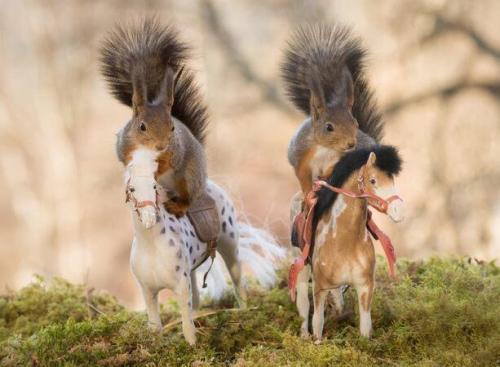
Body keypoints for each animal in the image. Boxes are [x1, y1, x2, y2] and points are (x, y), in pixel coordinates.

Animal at [99, 17, 209, 217]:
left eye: (172, 127)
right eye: (142, 126)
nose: (160, 146)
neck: (146, 150)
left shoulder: (173, 152)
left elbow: (166, 164)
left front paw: (155, 174)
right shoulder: (124, 147)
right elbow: (126, 162)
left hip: (191, 176)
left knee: (189, 198)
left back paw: (178, 206)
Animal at [282, 24, 382, 194]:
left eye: (355, 123)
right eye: (329, 127)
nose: (351, 144)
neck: (325, 148)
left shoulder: (338, 160)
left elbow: (333, 171)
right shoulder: (300, 159)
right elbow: (303, 179)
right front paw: (307, 195)